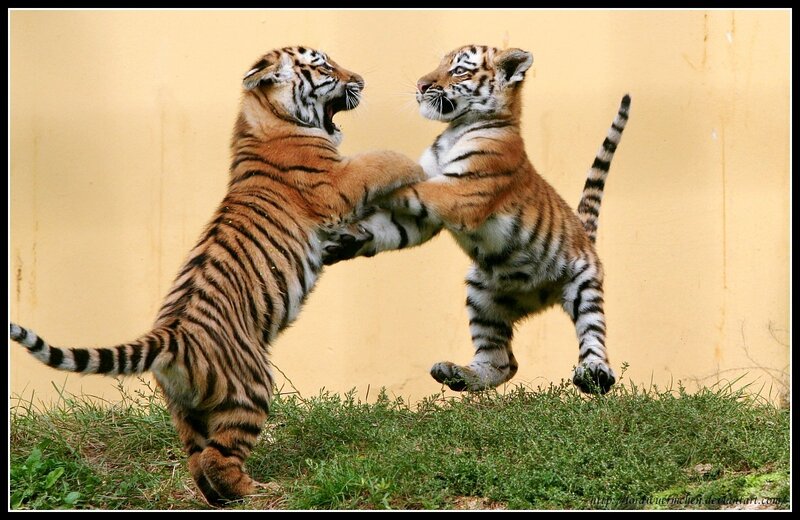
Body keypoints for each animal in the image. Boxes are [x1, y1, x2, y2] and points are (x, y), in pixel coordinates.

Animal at [9, 46, 426, 506]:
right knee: (218, 458)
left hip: (185, 409)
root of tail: (172, 336)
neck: (262, 118)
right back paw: (259, 492)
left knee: (196, 458)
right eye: (323, 67)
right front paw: (420, 167)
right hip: (251, 387)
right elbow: (382, 159)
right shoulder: (336, 184)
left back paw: (220, 498)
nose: (361, 81)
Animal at [321, 45, 630, 395]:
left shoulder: (460, 191)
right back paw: (455, 374)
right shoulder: (428, 217)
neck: (456, 129)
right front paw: (345, 239)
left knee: (592, 334)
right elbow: (393, 226)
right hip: (481, 295)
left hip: (584, 285)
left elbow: (411, 188)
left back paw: (595, 375)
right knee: (503, 362)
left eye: (458, 71)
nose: (421, 85)